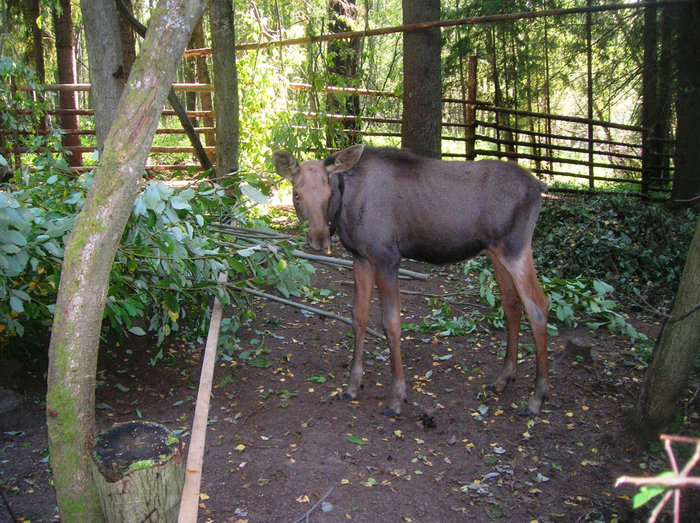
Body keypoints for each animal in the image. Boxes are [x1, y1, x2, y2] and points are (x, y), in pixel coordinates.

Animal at [274, 146, 552, 418]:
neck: (346, 211)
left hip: (516, 247)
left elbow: (391, 323)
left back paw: (537, 398)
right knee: (512, 304)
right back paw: (503, 379)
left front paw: (397, 398)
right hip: (496, 250)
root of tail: (539, 186)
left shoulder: (387, 257)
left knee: (539, 305)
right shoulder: (361, 258)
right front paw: (352, 386)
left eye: (329, 192)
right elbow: (358, 317)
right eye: (297, 194)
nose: (319, 238)